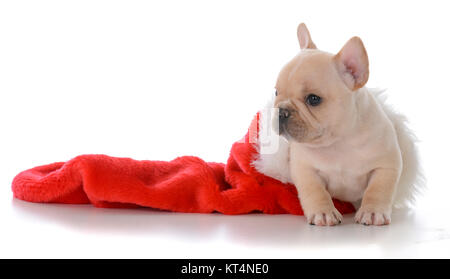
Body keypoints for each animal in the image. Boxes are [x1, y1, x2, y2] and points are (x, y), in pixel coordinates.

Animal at [260, 23, 422, 226]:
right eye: (276, 92)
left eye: (313, 99)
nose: (281, 111)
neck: (339, 142)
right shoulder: (305, 170)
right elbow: (315, 191)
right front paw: (323, 212)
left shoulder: (386, 166)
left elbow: (377, 190)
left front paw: (372, 211)